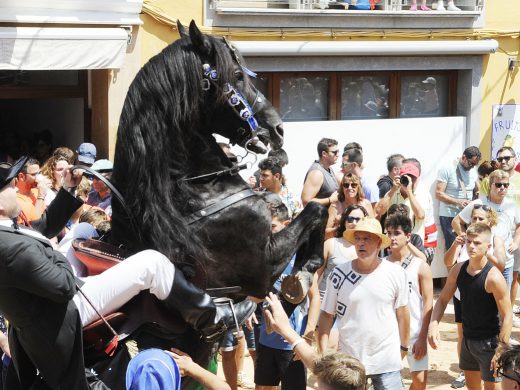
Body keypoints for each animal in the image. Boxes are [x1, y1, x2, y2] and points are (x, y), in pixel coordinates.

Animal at [111, 20, 328, 314]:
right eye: (237, 75)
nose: (278, 128)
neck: (194, 191)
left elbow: (316, 211)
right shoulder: (263, 269)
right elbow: (316, 209)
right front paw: (307, 268)